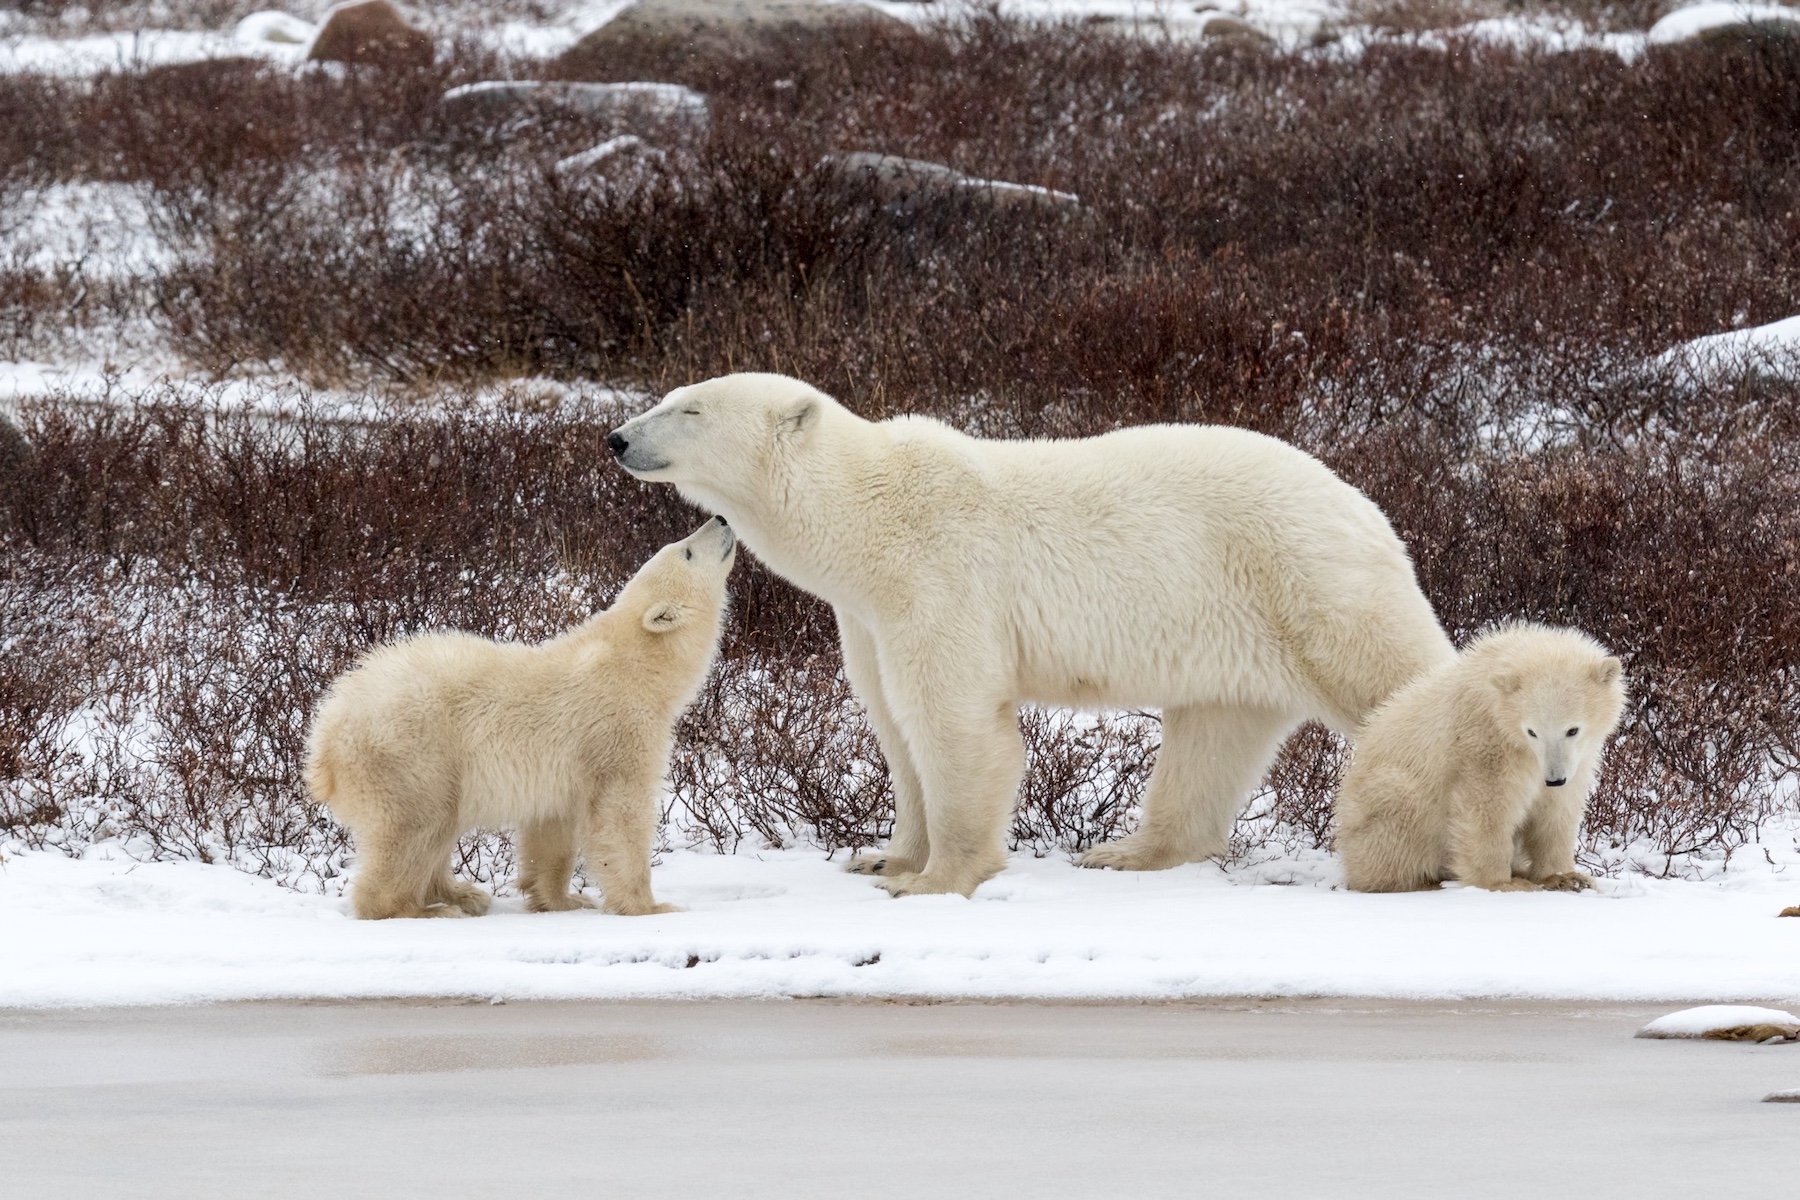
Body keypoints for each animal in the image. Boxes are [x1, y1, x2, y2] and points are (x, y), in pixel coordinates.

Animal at [303, 517, 736, 919]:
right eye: (687, 552)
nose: (720, 519)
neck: (636, 665)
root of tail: (325, 737)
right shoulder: (618, 731)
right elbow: (620, 814)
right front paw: (652, 906)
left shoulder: (562, 765)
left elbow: (552, 827)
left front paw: (562, 899)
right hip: (410, 754)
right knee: (417, 827)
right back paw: (425, 908)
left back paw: (463, 894)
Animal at [605, 372, 1454, 898]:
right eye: (670, 395)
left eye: (692, 409)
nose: (616, 438)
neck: (868, 518)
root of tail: (1365, 505)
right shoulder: (870, 617)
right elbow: (893, 724)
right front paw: (883, 855)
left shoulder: (939, 577)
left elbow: (953, 719)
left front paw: (935, 878)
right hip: (1235, 631)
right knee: (1213, 737)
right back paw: (1126, 852)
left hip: (1309, 583)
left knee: (1398, 683)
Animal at [1334, 622, 1626, 893]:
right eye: (1532, 731)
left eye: (1572, 729)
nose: (1553, 779)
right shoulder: (1485, 740)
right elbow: (1488, 807)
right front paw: (1503, 883)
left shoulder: (1577, 759)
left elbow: (1556, 811)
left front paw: (1565, 877)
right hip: (1389, 800)